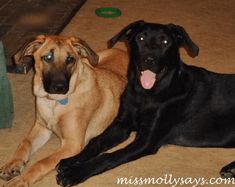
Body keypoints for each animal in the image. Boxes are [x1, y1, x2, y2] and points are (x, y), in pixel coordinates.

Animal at [0, 34, 129, 186]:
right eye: (48, 57)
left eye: (70, 59)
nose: (60, 87)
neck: (54, 102)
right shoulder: (41, 127)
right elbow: (25, 143)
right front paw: (13, 163)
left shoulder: (72, 144)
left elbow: (42, 162)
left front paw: (21, 180)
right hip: (89, 61)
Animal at [56, 19, 235, 186]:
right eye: (140, 38)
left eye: (165, 42)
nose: (150, 59)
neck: (145, 94)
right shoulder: (121, 125)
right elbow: (95, 143)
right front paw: (71, 160)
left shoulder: (147, 141)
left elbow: (110, 156)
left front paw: (75, 172)